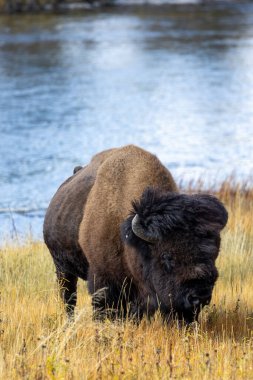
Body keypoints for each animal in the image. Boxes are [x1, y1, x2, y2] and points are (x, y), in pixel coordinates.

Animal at [43, 145, 227, 324]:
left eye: (214, 254)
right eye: (167, 257)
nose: (200, 297)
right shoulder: (101, 278)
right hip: (62, 267)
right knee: (68, 298)